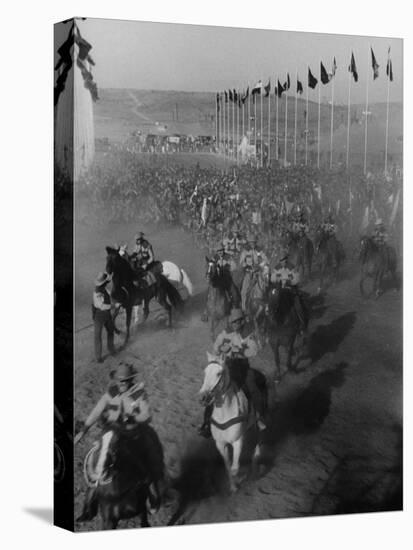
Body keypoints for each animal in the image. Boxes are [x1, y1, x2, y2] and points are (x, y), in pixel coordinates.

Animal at [199, 358, 264, 496]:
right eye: (205, 372)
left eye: (219, 373)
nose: (203, 398)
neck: (225, 413)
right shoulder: (220, 444)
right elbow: (228, 467)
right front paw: (233, 487)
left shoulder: (237, 441)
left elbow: (235, 468)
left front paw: (239, 480)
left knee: (258, 441)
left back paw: (255, 466)